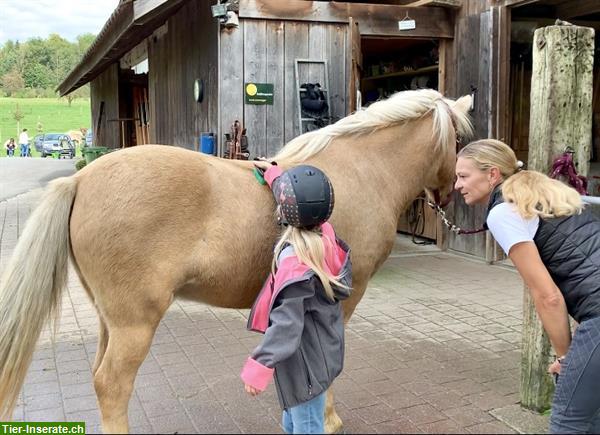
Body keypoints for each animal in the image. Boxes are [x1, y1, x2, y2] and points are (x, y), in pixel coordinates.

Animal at [0, 88, 472, 432]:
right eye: (460, 141)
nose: (453, 194)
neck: (361, 170)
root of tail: (80, 179)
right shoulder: (341, 297)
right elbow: (330, 360)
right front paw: (329, 419)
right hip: (135, 323)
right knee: (112, 385)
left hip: (108, 319)